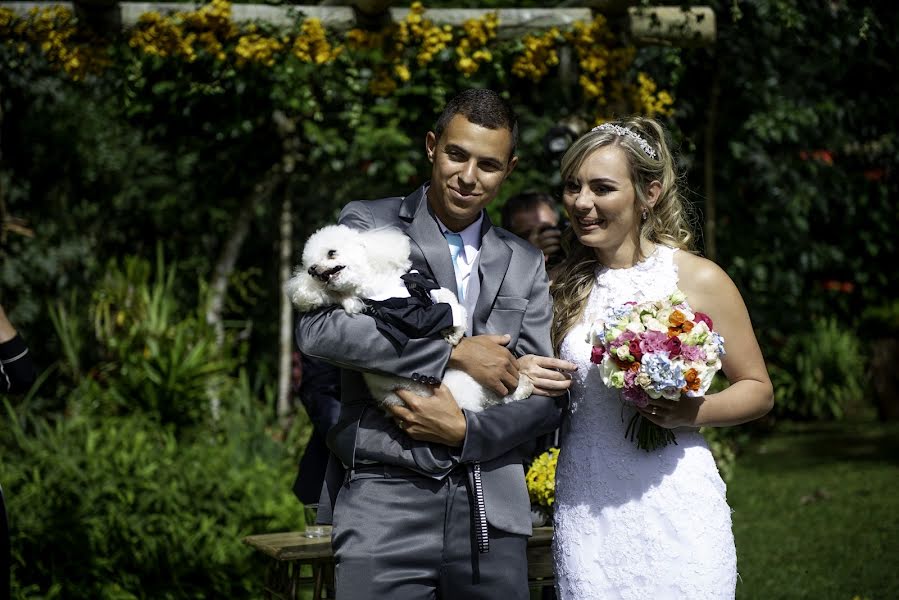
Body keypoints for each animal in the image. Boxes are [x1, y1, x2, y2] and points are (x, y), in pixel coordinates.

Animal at [284, 224, 532, 412]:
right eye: (309, 267)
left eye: (331, 252)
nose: (313, 270)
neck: (374, 283)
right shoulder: (400, 312)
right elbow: (429, 317)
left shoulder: (420, 283)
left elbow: (446, 297)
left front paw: (455, 329)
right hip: (466, 382)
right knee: (494, 395)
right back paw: (523, 388)